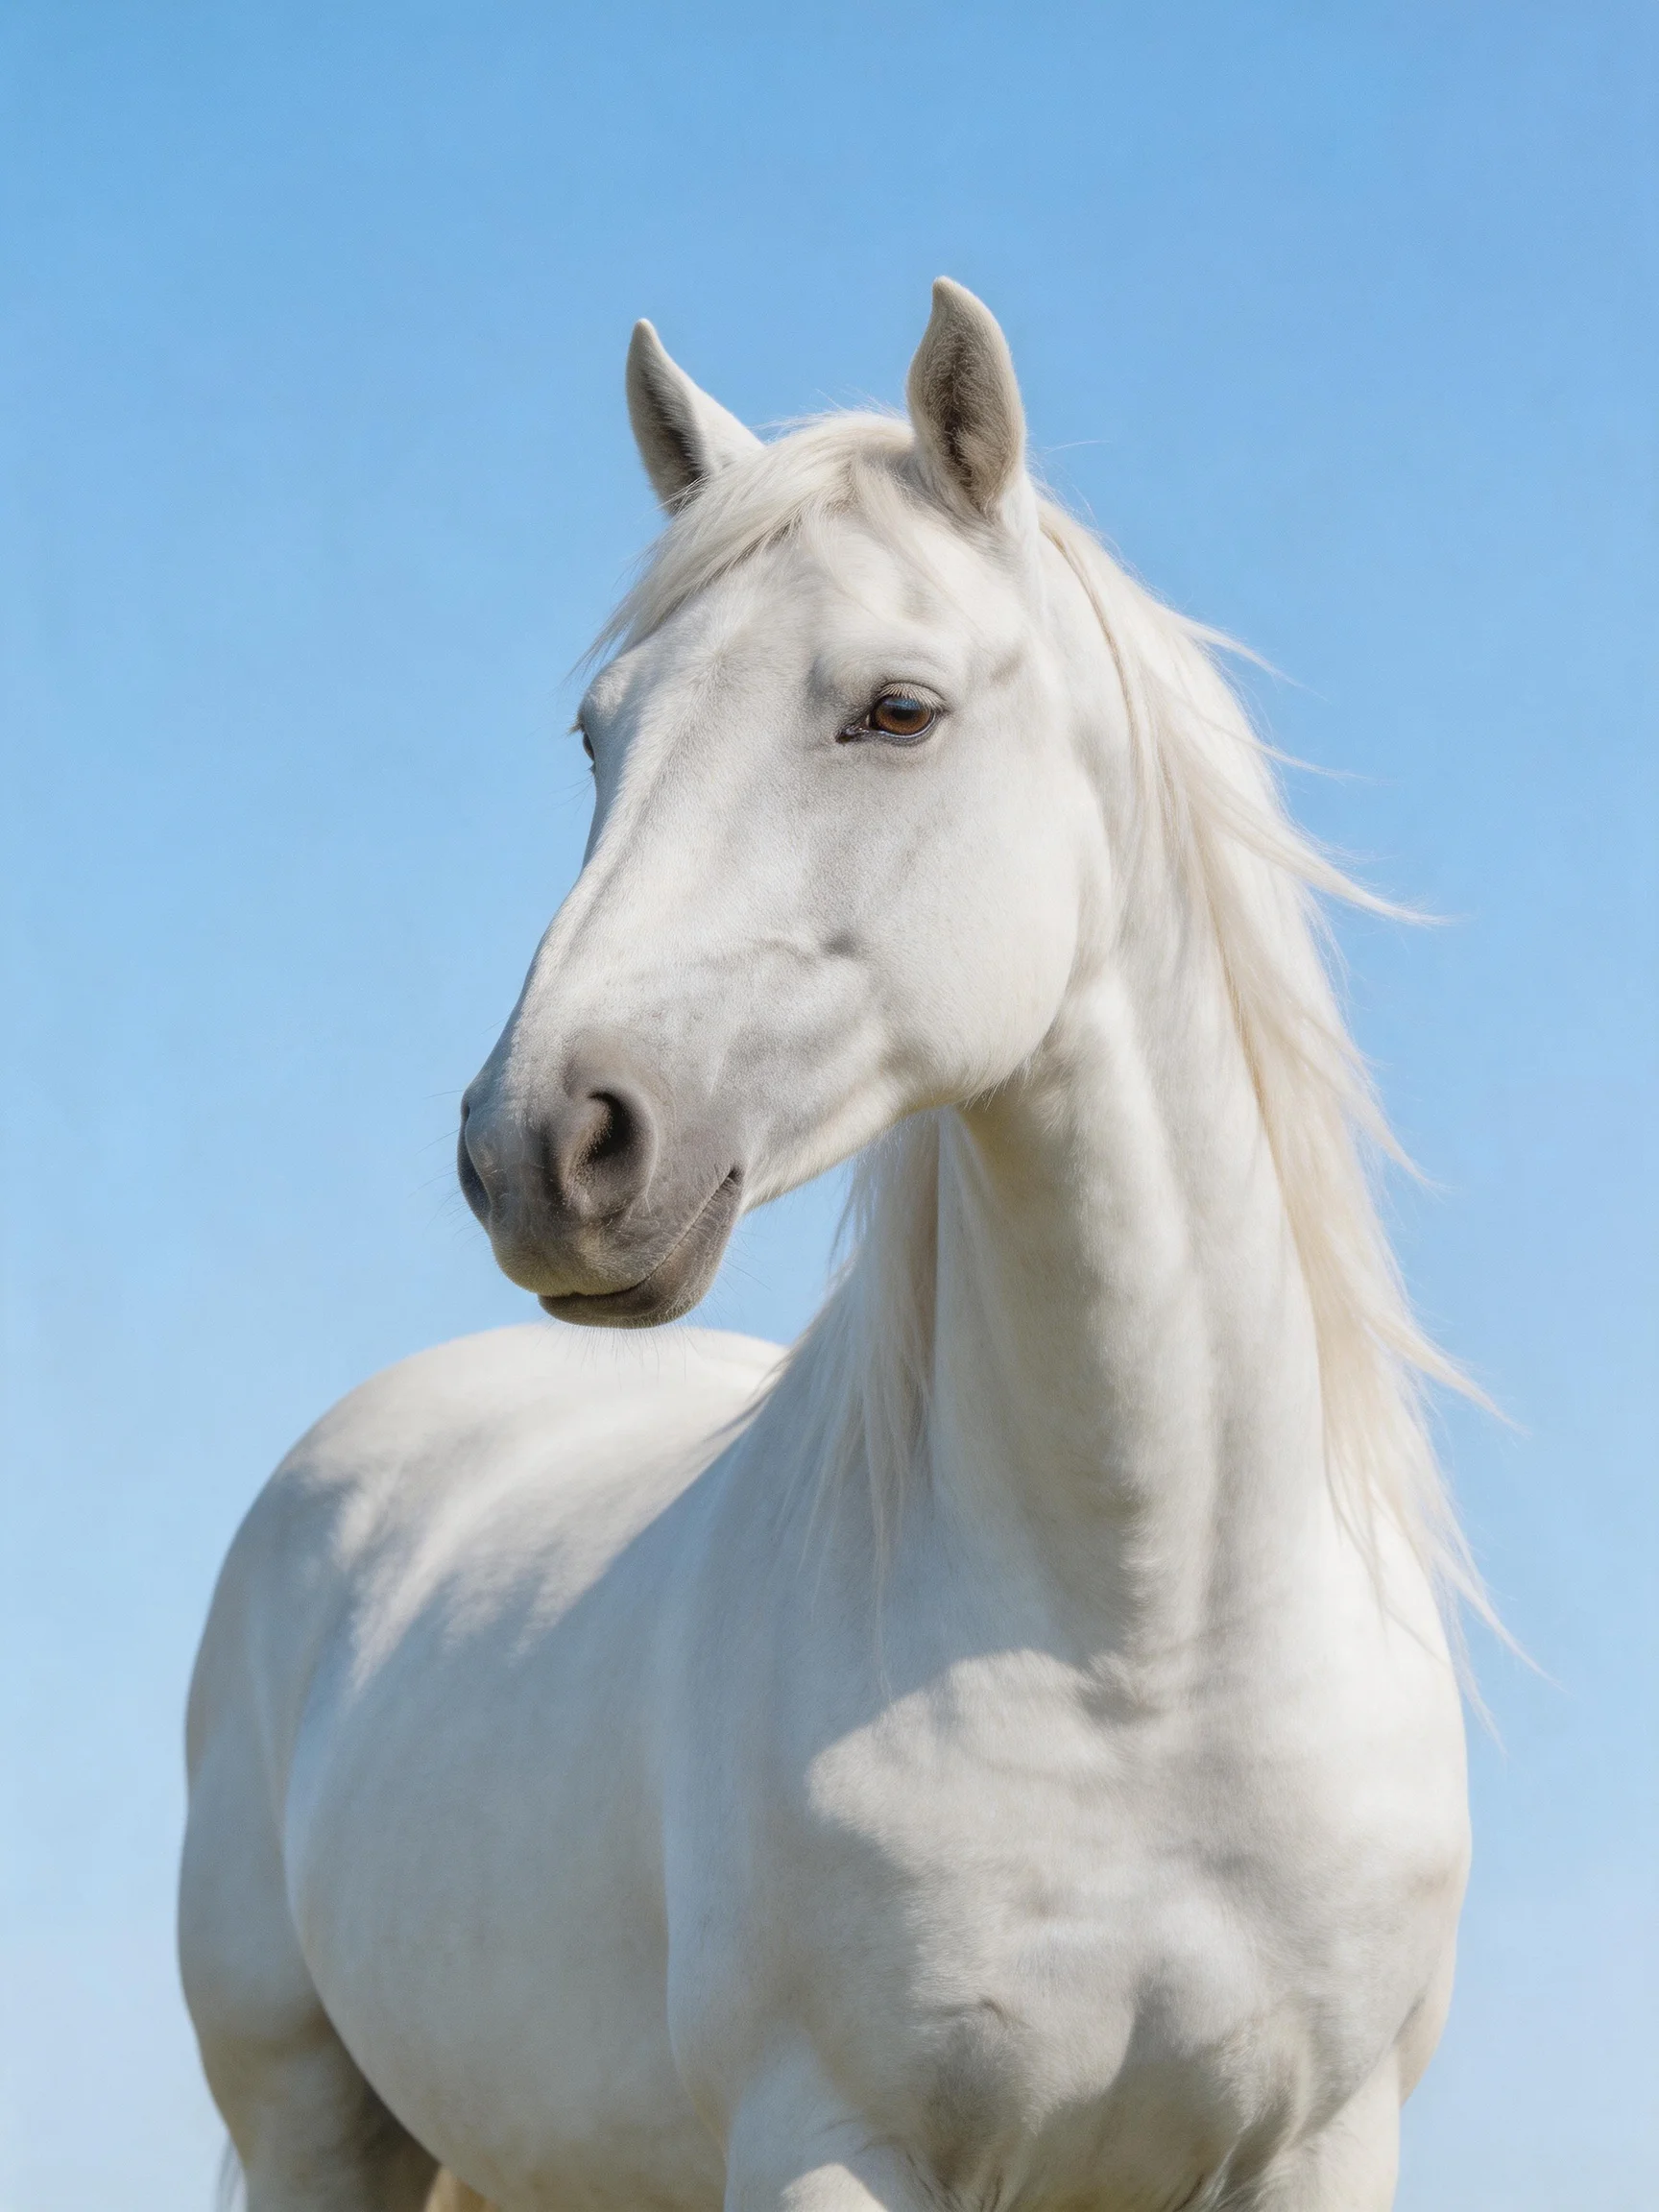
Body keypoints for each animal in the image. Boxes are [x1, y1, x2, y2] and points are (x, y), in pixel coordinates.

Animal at [179, 281, 1479, 2212]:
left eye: (897, 707)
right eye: (599, 733)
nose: (540, 1148)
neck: (1149, 1650)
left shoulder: (1320, 2144)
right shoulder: (830, 2142)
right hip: (315, 2127)